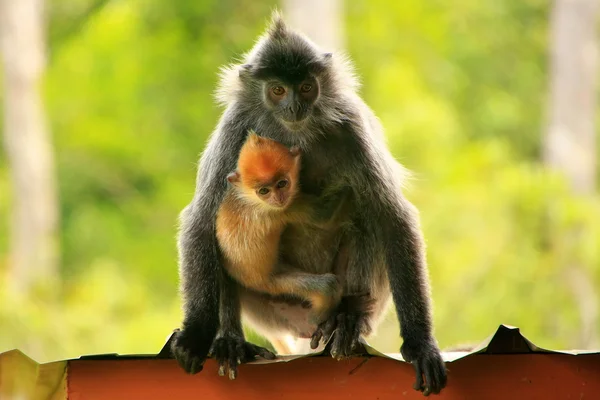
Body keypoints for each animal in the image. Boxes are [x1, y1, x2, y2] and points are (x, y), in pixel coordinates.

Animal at [218, 132, 344, 324]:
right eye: (264, 191)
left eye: (282, 184)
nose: (278, 198)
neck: (250, 200)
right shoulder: (283, 210)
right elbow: (324, 216)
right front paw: (346, 186)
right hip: (273, 282)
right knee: (326, 286)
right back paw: (317, 317)